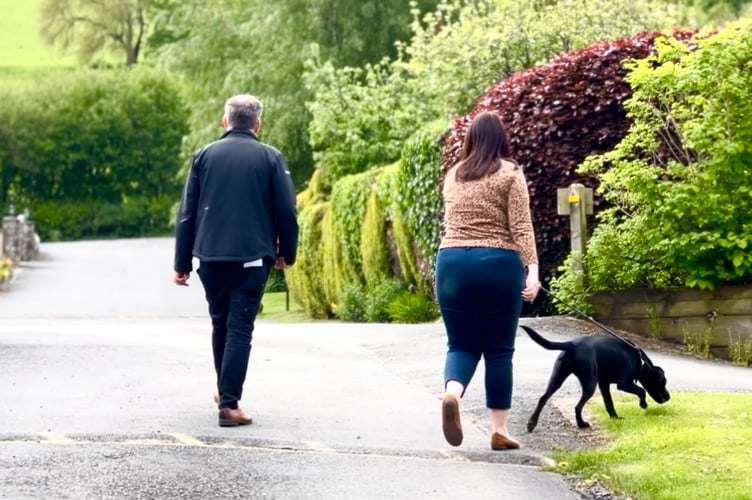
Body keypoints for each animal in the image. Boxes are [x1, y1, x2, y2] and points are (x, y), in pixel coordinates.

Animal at [524, 326, 668, 432]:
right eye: (662, 382)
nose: (668, 397)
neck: (640, 361)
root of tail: (571, 344)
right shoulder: (624, 384)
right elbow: (642, 391)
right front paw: (643, 404)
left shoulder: (604, 384)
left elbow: (609, 402)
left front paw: (615, 418)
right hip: (589, 383)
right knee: (577, 406)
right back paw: (581, 424)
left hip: (557, 378)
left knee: (543, 398)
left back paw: (531, 423)